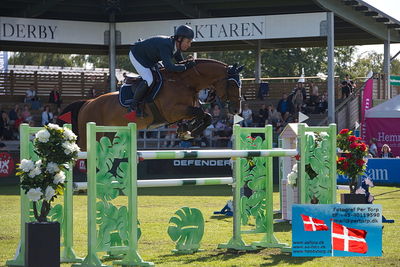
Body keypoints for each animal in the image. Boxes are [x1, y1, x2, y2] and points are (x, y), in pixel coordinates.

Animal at [57, 59, 242, 151]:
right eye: (233, 84)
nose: (236, 109)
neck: (184, 82)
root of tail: (87, 103)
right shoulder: (173, 111)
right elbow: (201, 113)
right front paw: (189, 132)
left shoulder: (184, 111)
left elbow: (206, 116)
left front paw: (186, 131)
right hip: (89, 135)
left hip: (108, 134)